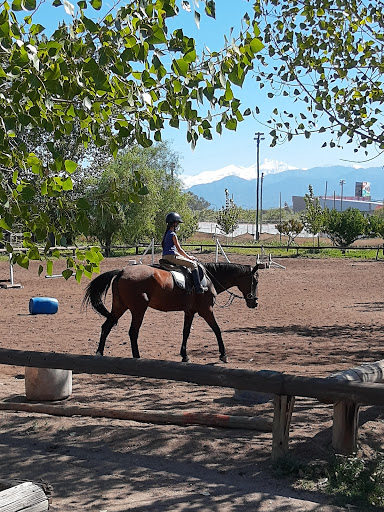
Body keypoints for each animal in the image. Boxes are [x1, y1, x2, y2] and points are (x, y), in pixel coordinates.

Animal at [82, 262, 260, 362]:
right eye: (255, 281)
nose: (255, 302)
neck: (208, 279)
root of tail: (122, 271)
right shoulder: (206, 310)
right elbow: (217, 330)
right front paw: (223, 355)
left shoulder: (190, 312)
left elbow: (186, 332)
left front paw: (184, 355)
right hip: (138, 310)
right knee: (133, 332)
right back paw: (137, 356)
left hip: (120, 307)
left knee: (106, 327)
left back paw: (99, 353)